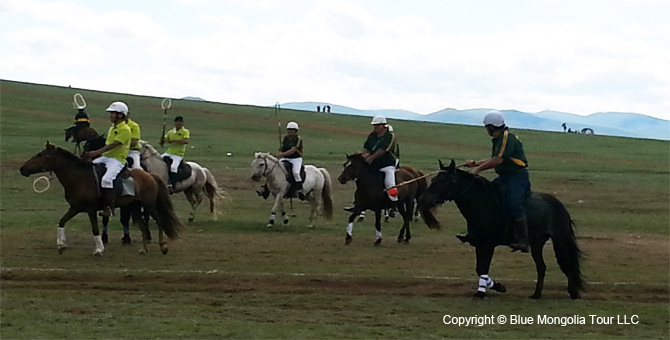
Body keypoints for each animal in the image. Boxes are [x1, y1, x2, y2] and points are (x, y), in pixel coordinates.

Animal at [19, 142, 182, 256]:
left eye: (40, 155)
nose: (22, 169)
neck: (80, 178)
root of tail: (150, 175)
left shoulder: (90, 209)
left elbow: (95, 228)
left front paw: (99, 249)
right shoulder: (75, 208)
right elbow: (62, 221)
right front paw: (61, 245)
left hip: (148, 205)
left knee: (159, 221)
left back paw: (163, 246)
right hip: (134, 207)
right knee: (142, 225)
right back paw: (143, 250)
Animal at [420, 159, 584, 298]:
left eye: (443, 181)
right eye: (433, 180)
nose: (423, 199)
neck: (483, 203)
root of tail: (559, 205)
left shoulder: (488, 244)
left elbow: (483, 268)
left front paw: (482, 293)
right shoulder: (479, 244)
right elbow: (480, 269)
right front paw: (496, 287)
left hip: (560, 240)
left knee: (568, 263)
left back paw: (574, 292)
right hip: (537, 243)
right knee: (541, 267)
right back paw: (536, 295)